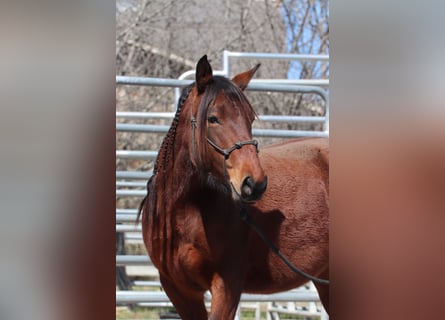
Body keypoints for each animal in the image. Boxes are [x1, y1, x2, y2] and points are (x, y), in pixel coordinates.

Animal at [137, 56, 328, 318]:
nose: (254, 184)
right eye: (213, 118)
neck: (183, 213)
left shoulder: (226, 287)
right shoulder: (178, 290)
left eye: (250, 119)